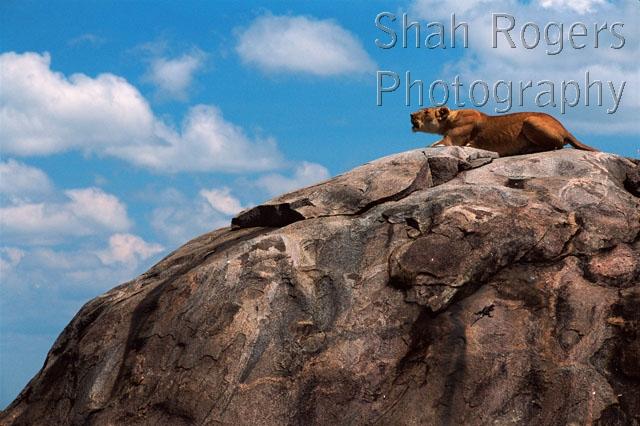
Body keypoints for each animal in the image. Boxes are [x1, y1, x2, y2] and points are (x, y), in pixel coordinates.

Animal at [410, 107, 598, 157]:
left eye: (425, 111)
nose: (410, 114)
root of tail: (565, 128)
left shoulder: (452, 141)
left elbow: (435, 144)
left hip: (530, 120)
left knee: (556, 145)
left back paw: (527, 149)